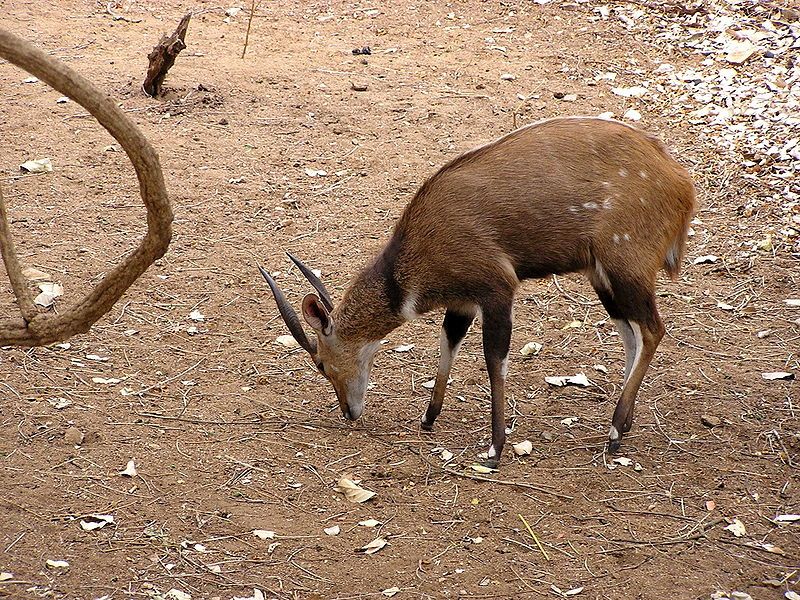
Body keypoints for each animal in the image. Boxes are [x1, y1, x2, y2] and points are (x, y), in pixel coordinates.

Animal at [260, 115, 692, 466]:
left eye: (320, 362)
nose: (349, 411)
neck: (414, 261)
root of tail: (682, 185)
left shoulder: (497, 285)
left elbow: (493, 357)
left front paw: (495, 448)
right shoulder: (464, 300)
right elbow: (449, 341)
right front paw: (428, 418)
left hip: (624, 263)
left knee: (653, 329)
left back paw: (615, 431)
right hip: (601, 274)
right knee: (632, 334)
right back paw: (624, 422)